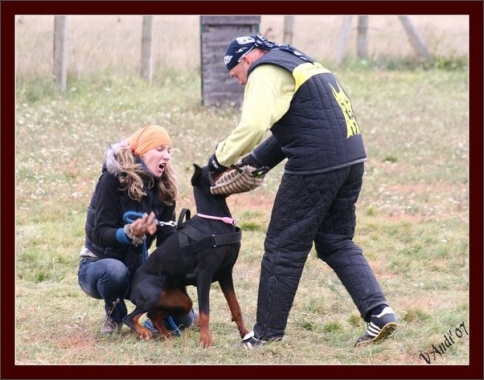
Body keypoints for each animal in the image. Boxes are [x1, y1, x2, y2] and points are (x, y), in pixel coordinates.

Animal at [123, 163, 248, 348]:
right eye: (214, 169)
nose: (238, 164)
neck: (215, 221)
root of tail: (131, 287)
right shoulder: (204, 275)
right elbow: (205, 312)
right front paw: (205, 341)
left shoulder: (226, 273)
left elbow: (236, 307)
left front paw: (246, 335)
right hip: (152, 296)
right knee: (130, 317)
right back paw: (144, 332)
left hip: (181, 302)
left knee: (154, 315)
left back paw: (167, 336)